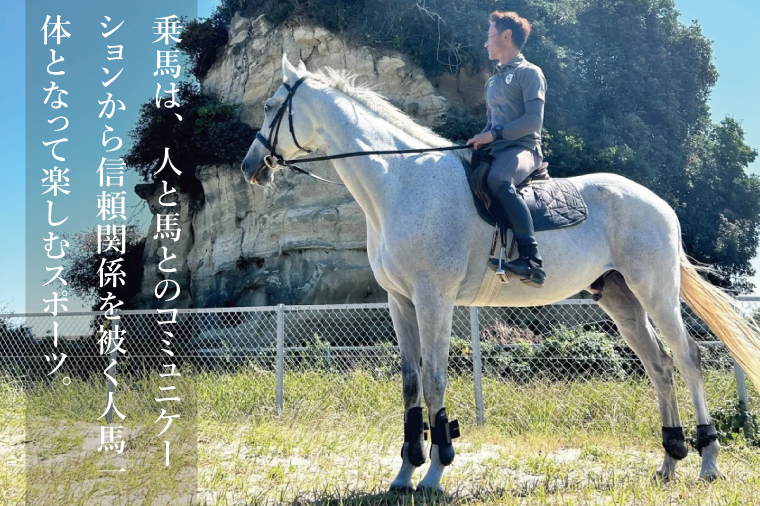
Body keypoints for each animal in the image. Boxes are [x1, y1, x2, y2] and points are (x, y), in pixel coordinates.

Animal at [241, 54, 760, 492]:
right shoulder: (400, 301)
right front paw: (404, 474)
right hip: (620, 299)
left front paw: (434, 474)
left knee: (688, 358)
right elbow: (410, 384)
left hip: (654, 291)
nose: (250, 167)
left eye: (269, 107)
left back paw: (708, 462)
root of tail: (657, 202)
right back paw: (669, 461)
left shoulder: (434, 298)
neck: (401, 182)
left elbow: (435, 380)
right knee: (659, 365)